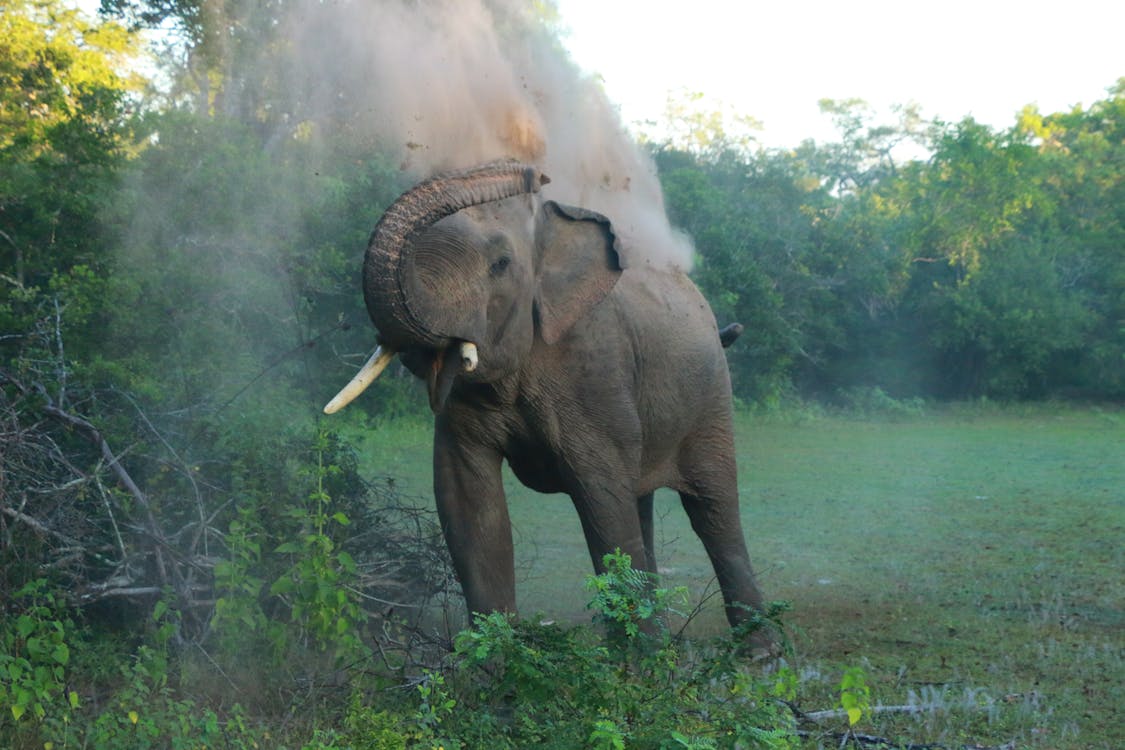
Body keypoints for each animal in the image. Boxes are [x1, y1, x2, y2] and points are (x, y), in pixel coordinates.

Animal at [321, 159, 769, 634]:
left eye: (500, 264)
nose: (536, 175)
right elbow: (467, 504)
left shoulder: (595, 372)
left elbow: (603, 503)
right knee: (642, 501)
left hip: (711, 397)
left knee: (712, 510)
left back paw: (756, 648)